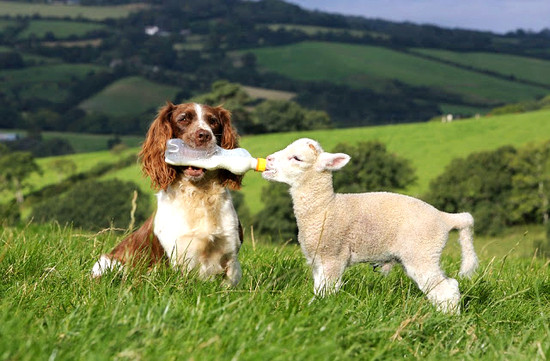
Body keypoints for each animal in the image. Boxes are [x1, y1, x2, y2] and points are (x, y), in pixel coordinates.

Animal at [92, 101, 244, 284]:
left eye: (213, 121)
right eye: (183, 119)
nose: (204, 135)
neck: (198, 194)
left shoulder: (231, 255)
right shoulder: (176, 258)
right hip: (109, 263)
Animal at [264, 138, 478, 312]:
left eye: (297, 158)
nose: (267, 160)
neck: (325, 207)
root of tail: (445, 218)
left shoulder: (333, 256)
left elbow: (326, 291)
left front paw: (317, 310)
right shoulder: (318, 259)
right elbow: (319, 289)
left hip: (421, 252)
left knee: (445, 289)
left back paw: (447, 320)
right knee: (450, 286)